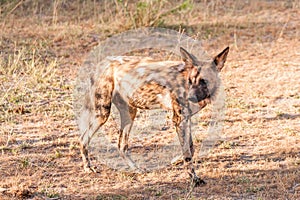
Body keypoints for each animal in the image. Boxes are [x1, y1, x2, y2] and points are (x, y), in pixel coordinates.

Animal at [78, 46, 229, 185]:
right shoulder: (180, 120)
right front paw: (194, 179)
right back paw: (88, 168)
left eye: (204, 81)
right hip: (102, 113)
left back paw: (136, 169)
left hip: (130, 113)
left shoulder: (186, 119)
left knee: (121, 145)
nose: (190, 97)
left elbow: (190, 148)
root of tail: (102, 62)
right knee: (83, 138)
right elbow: (187, 153)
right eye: (191, 81)